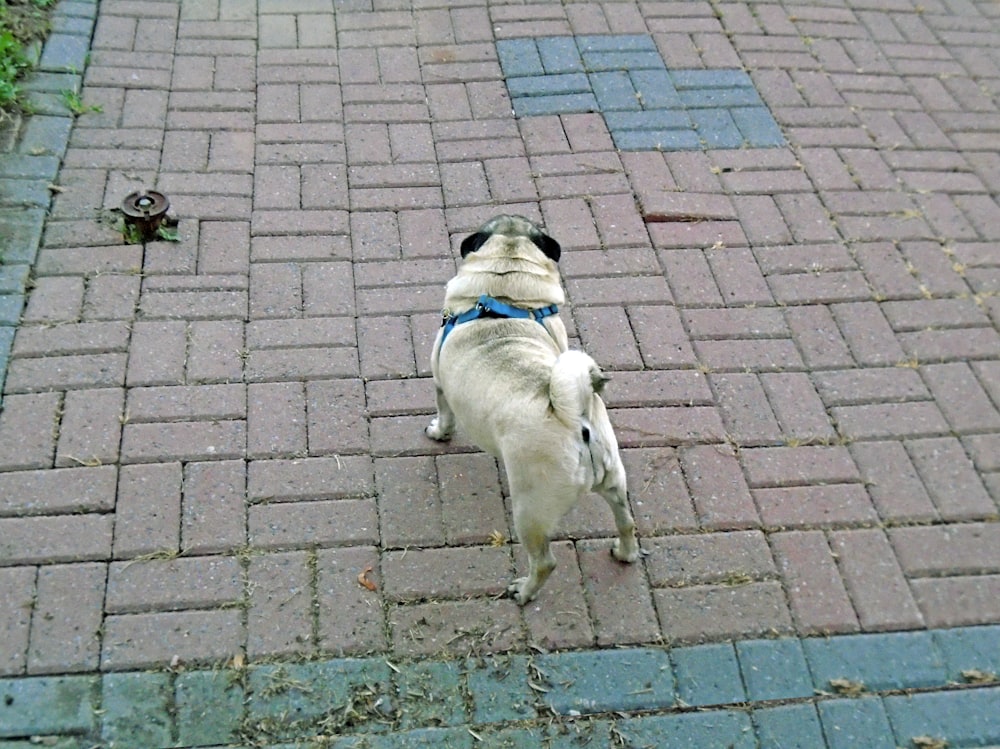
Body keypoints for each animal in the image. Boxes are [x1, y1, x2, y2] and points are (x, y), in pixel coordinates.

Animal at [426, 215, 636, 600]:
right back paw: (625, 552)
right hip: (615, 481)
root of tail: (577, 421)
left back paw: (523, 592)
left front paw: (438, 432)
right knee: (626, 520)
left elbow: (445, 415)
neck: (504, 286)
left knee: (545, 562)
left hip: (530, 511)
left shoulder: (439, 383)